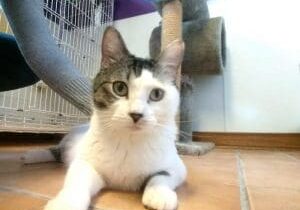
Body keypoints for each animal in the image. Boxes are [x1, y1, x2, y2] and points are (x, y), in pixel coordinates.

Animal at [40, 27, 186, 210]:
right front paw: (67, 202)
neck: (129, 141)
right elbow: (78, 179)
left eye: (157, 94)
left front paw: (159, 193)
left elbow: (163, 174)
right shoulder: (84, 161)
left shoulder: (177, 165)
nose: (136, 114)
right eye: (119, 88)